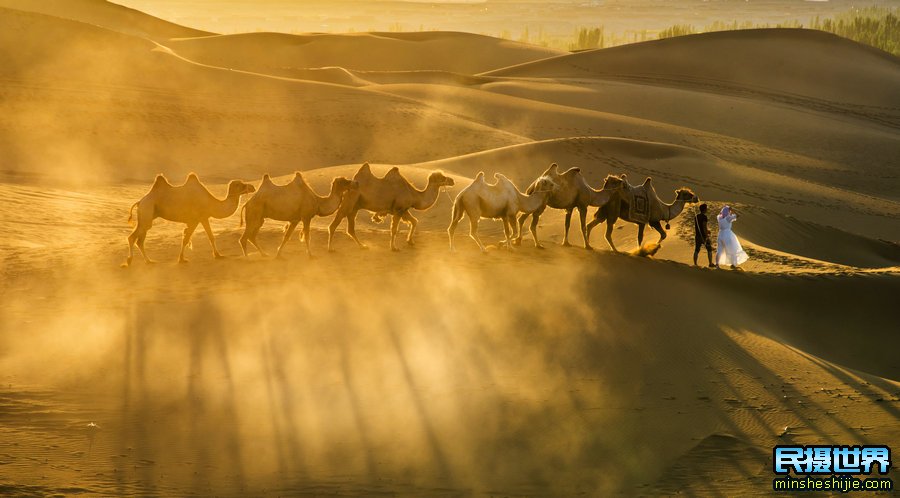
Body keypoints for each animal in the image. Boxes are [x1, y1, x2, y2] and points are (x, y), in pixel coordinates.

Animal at [123, 173, 256, 266]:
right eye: (240, 184)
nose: (253, 187)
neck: (211, 203)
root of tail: (139, 202)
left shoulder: (203, 218)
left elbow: (209, 237)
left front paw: (218, 255)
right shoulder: (196, 219)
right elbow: (188, 238)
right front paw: (182, 259)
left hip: (145, 217)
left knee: (139, 240)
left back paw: (148, 261)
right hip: (147, 212)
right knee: (133, 238)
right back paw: (130, 261)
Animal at [326, 163, 454, 251]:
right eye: (442, 177)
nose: (452, 180)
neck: (414, 195)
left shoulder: (404, 210)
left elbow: (414, 221)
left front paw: (410, 241)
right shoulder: (398, 210)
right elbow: (394, 229)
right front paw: (394, 248)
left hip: (355, 207)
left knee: (351, 229)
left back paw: (362, 246)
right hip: (350, 200)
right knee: (334, 224)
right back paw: (330, 248)